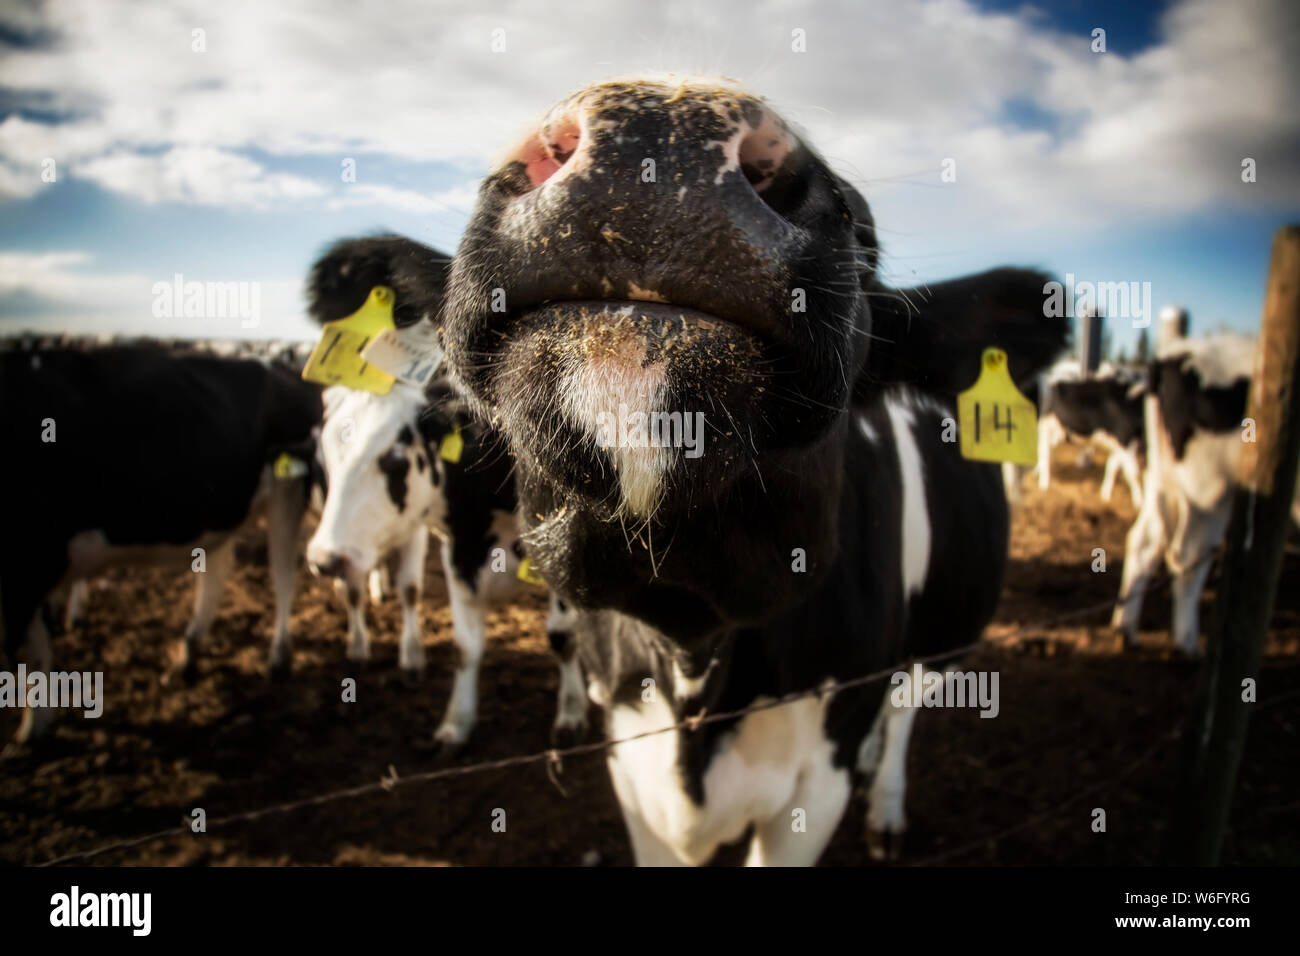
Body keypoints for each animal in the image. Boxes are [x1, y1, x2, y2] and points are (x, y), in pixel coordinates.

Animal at [0, 348, 322, 743]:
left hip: (286, 493)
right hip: (221, 511)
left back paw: (278, 657)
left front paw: (33, 728)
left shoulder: (30, 560)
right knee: (216, 574)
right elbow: (34, 645)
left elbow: (27, 650)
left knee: (282, 574)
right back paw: (188, 655)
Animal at [301, 239, 587, 749]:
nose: (323, 559)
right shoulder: (461, 542)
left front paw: (572, 712)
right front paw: (456, 723)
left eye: (395, 461)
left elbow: (563, 635)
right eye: (326, 457)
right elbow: (464, 646)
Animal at [335, 78, 1066, 863]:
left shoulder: (817, 777)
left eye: (868, 250)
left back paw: (888, 807)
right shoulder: (630, 761)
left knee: (903, 705)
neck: (688, 639)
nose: (660, 141)